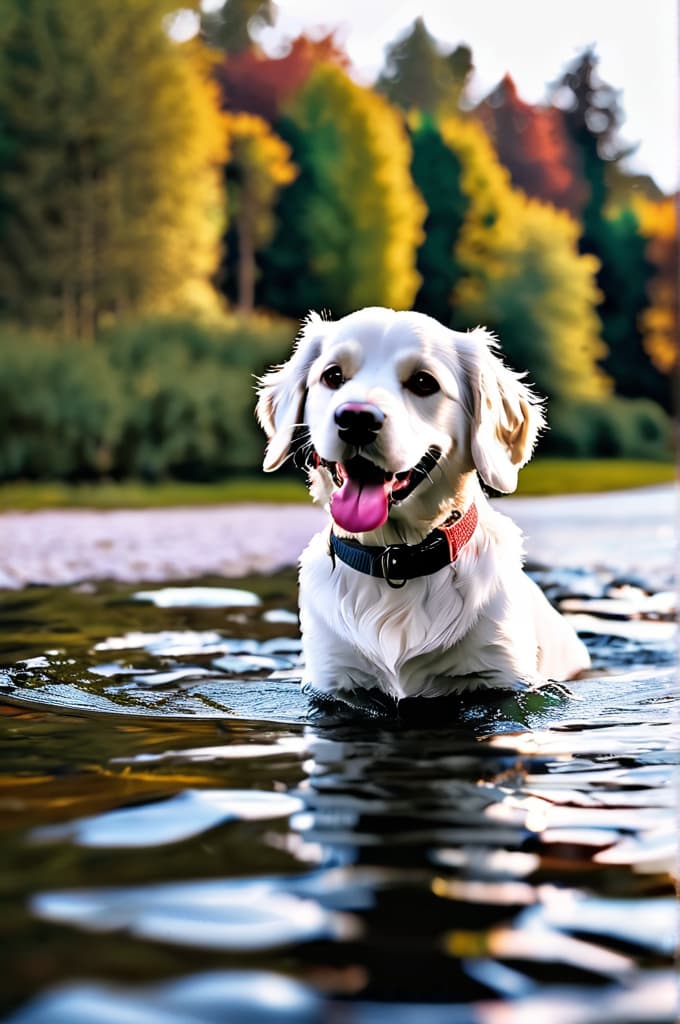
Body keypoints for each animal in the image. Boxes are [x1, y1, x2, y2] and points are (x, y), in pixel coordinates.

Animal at [255, 305, 589, 704]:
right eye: (333, 375)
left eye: (423, 382)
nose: (356, 419)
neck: (395, 557)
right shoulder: (335, 680)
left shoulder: (503, 678)